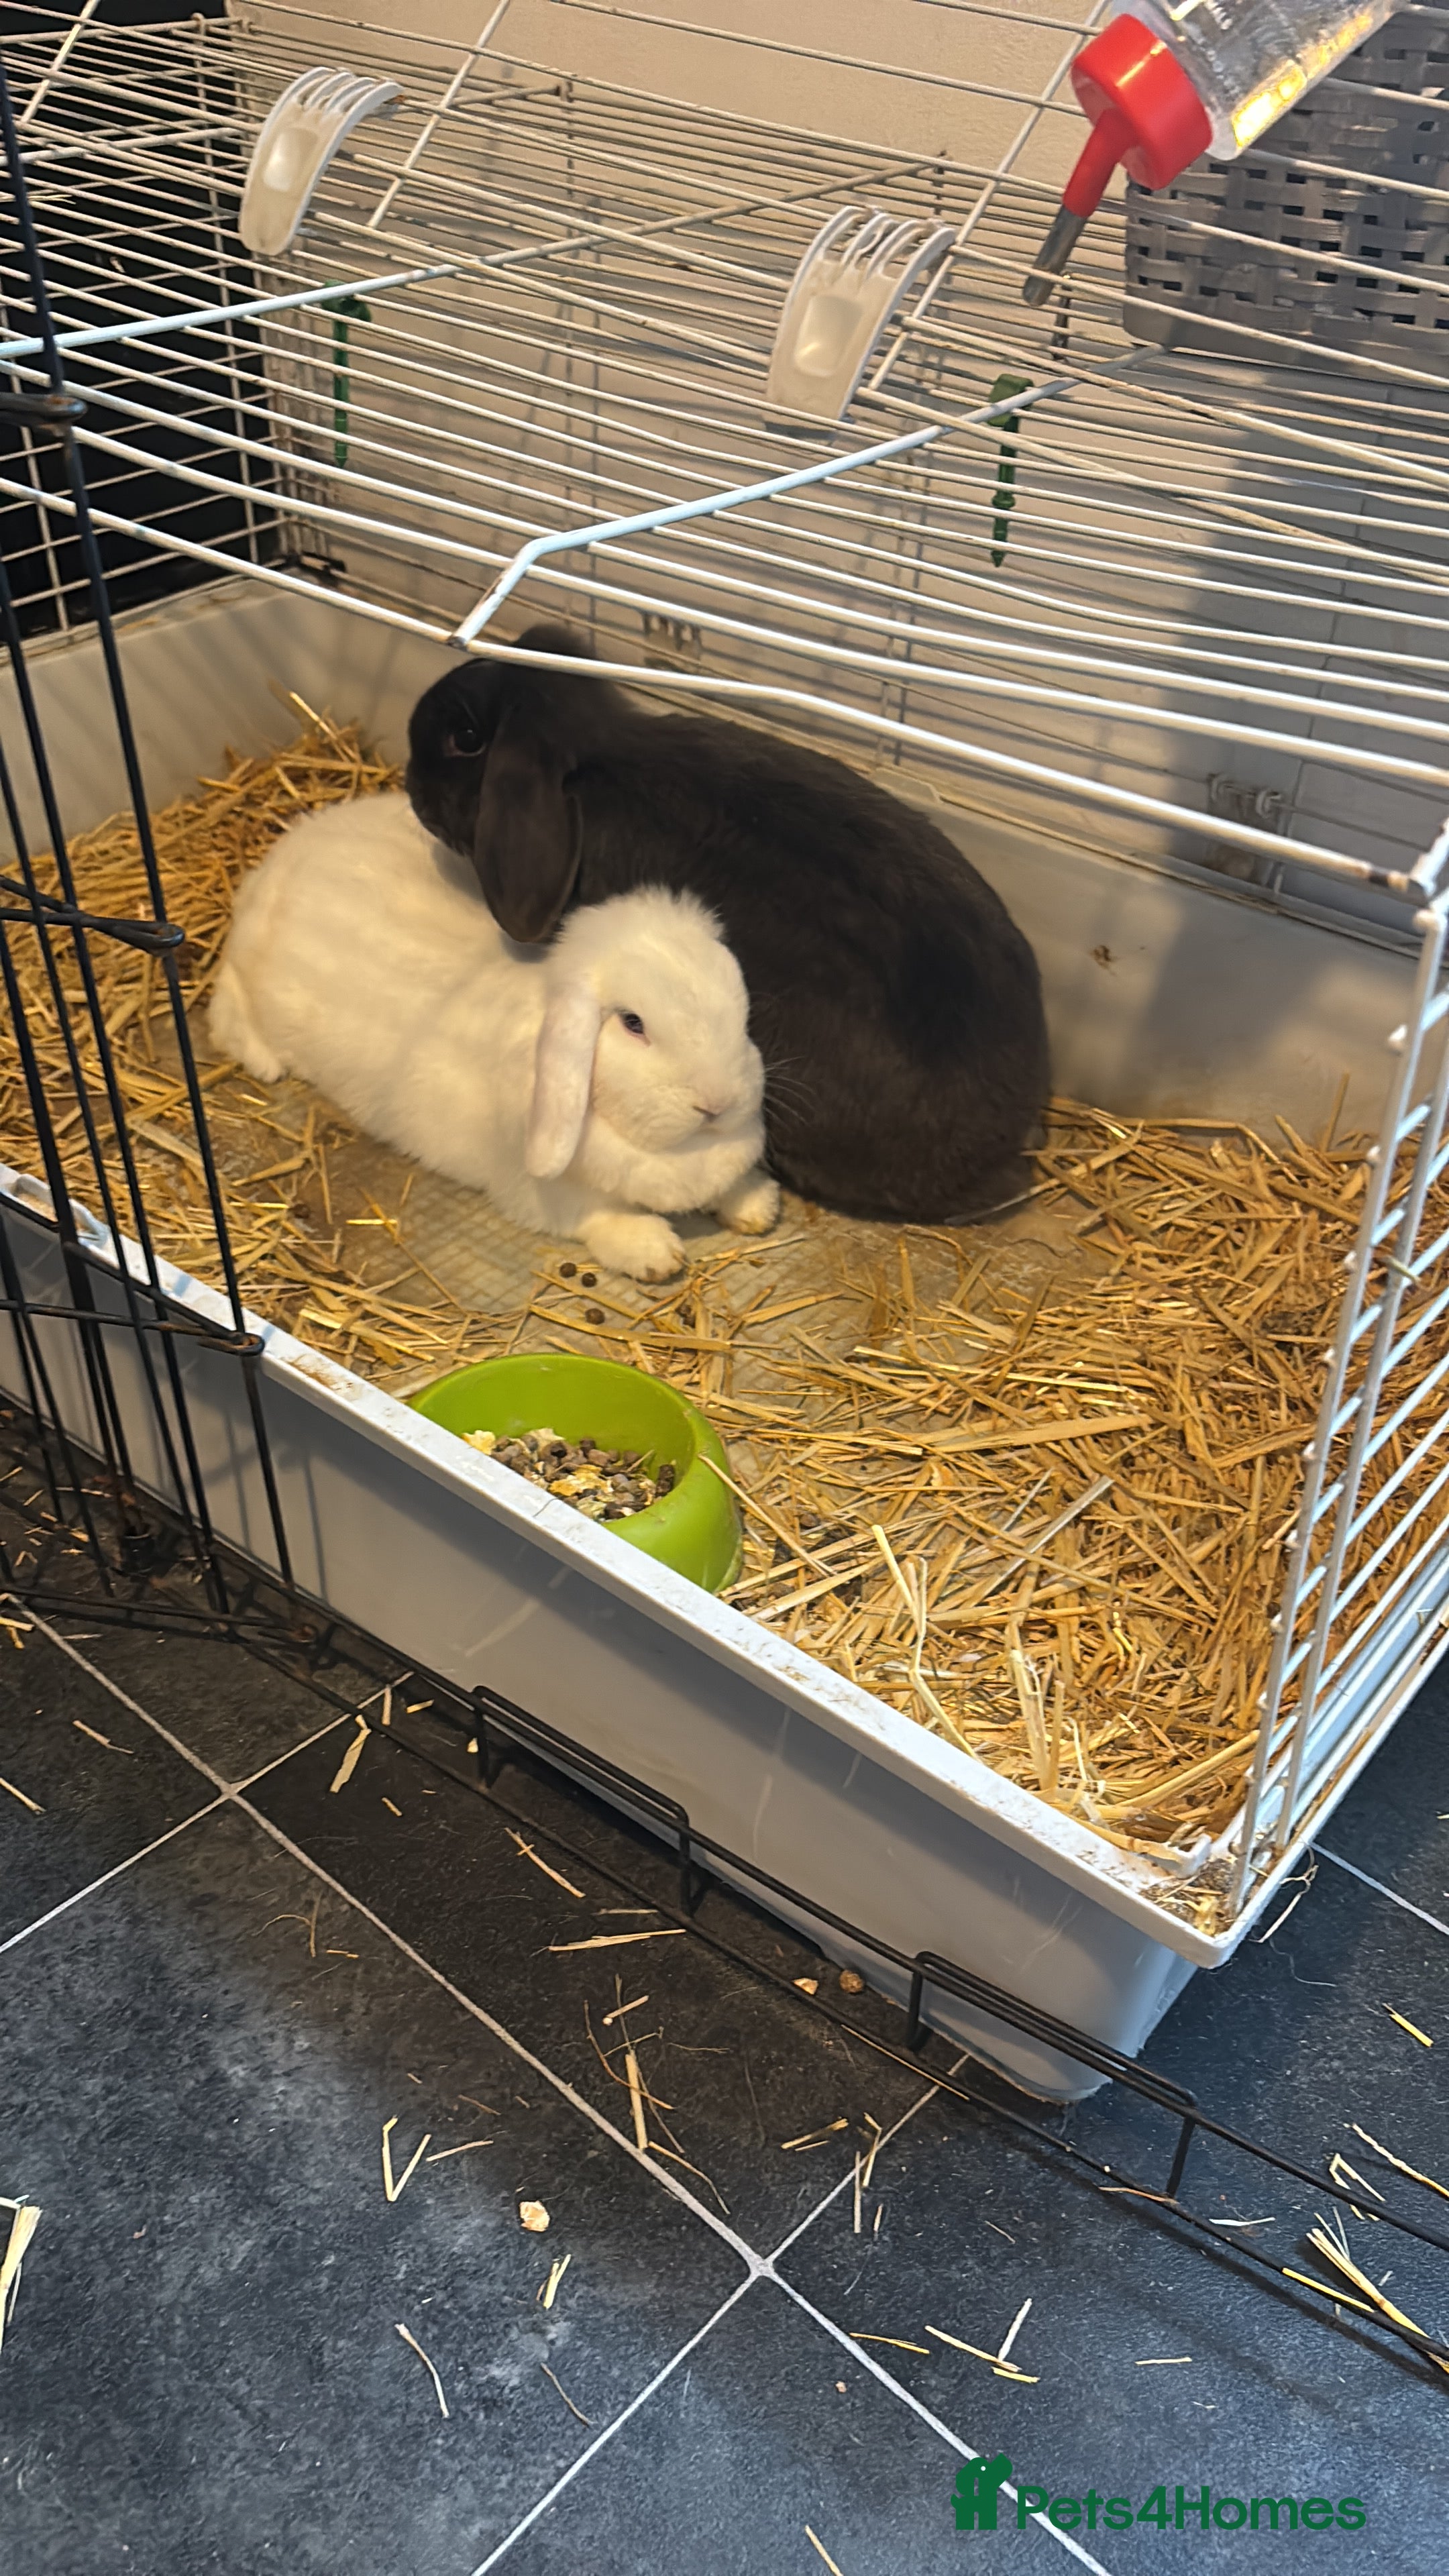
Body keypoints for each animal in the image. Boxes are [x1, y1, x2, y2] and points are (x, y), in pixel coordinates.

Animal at [209, 790, 779, 1281]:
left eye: (740, 1006)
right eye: (633, 1023)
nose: (717, 1103)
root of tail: (279, 859)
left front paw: (758, 1204)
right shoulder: (542, 1193)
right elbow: (595, 1216)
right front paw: (655, 1252)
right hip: (252, 979)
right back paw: (265, 1062)